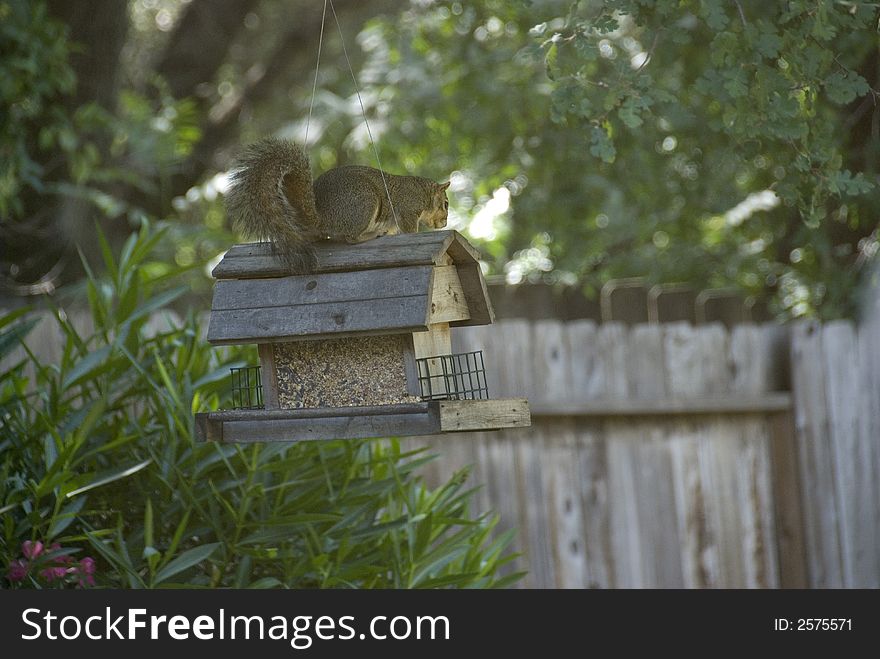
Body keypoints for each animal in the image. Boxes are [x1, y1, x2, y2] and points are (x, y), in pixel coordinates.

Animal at [223, 138, 450, 272]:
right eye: (446, 204)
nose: (445, 223)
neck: (422, 192)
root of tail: (321, 217)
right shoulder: (408, 209)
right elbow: (409, 229)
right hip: (365, 202)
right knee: (351, 238)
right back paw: (372, 234)